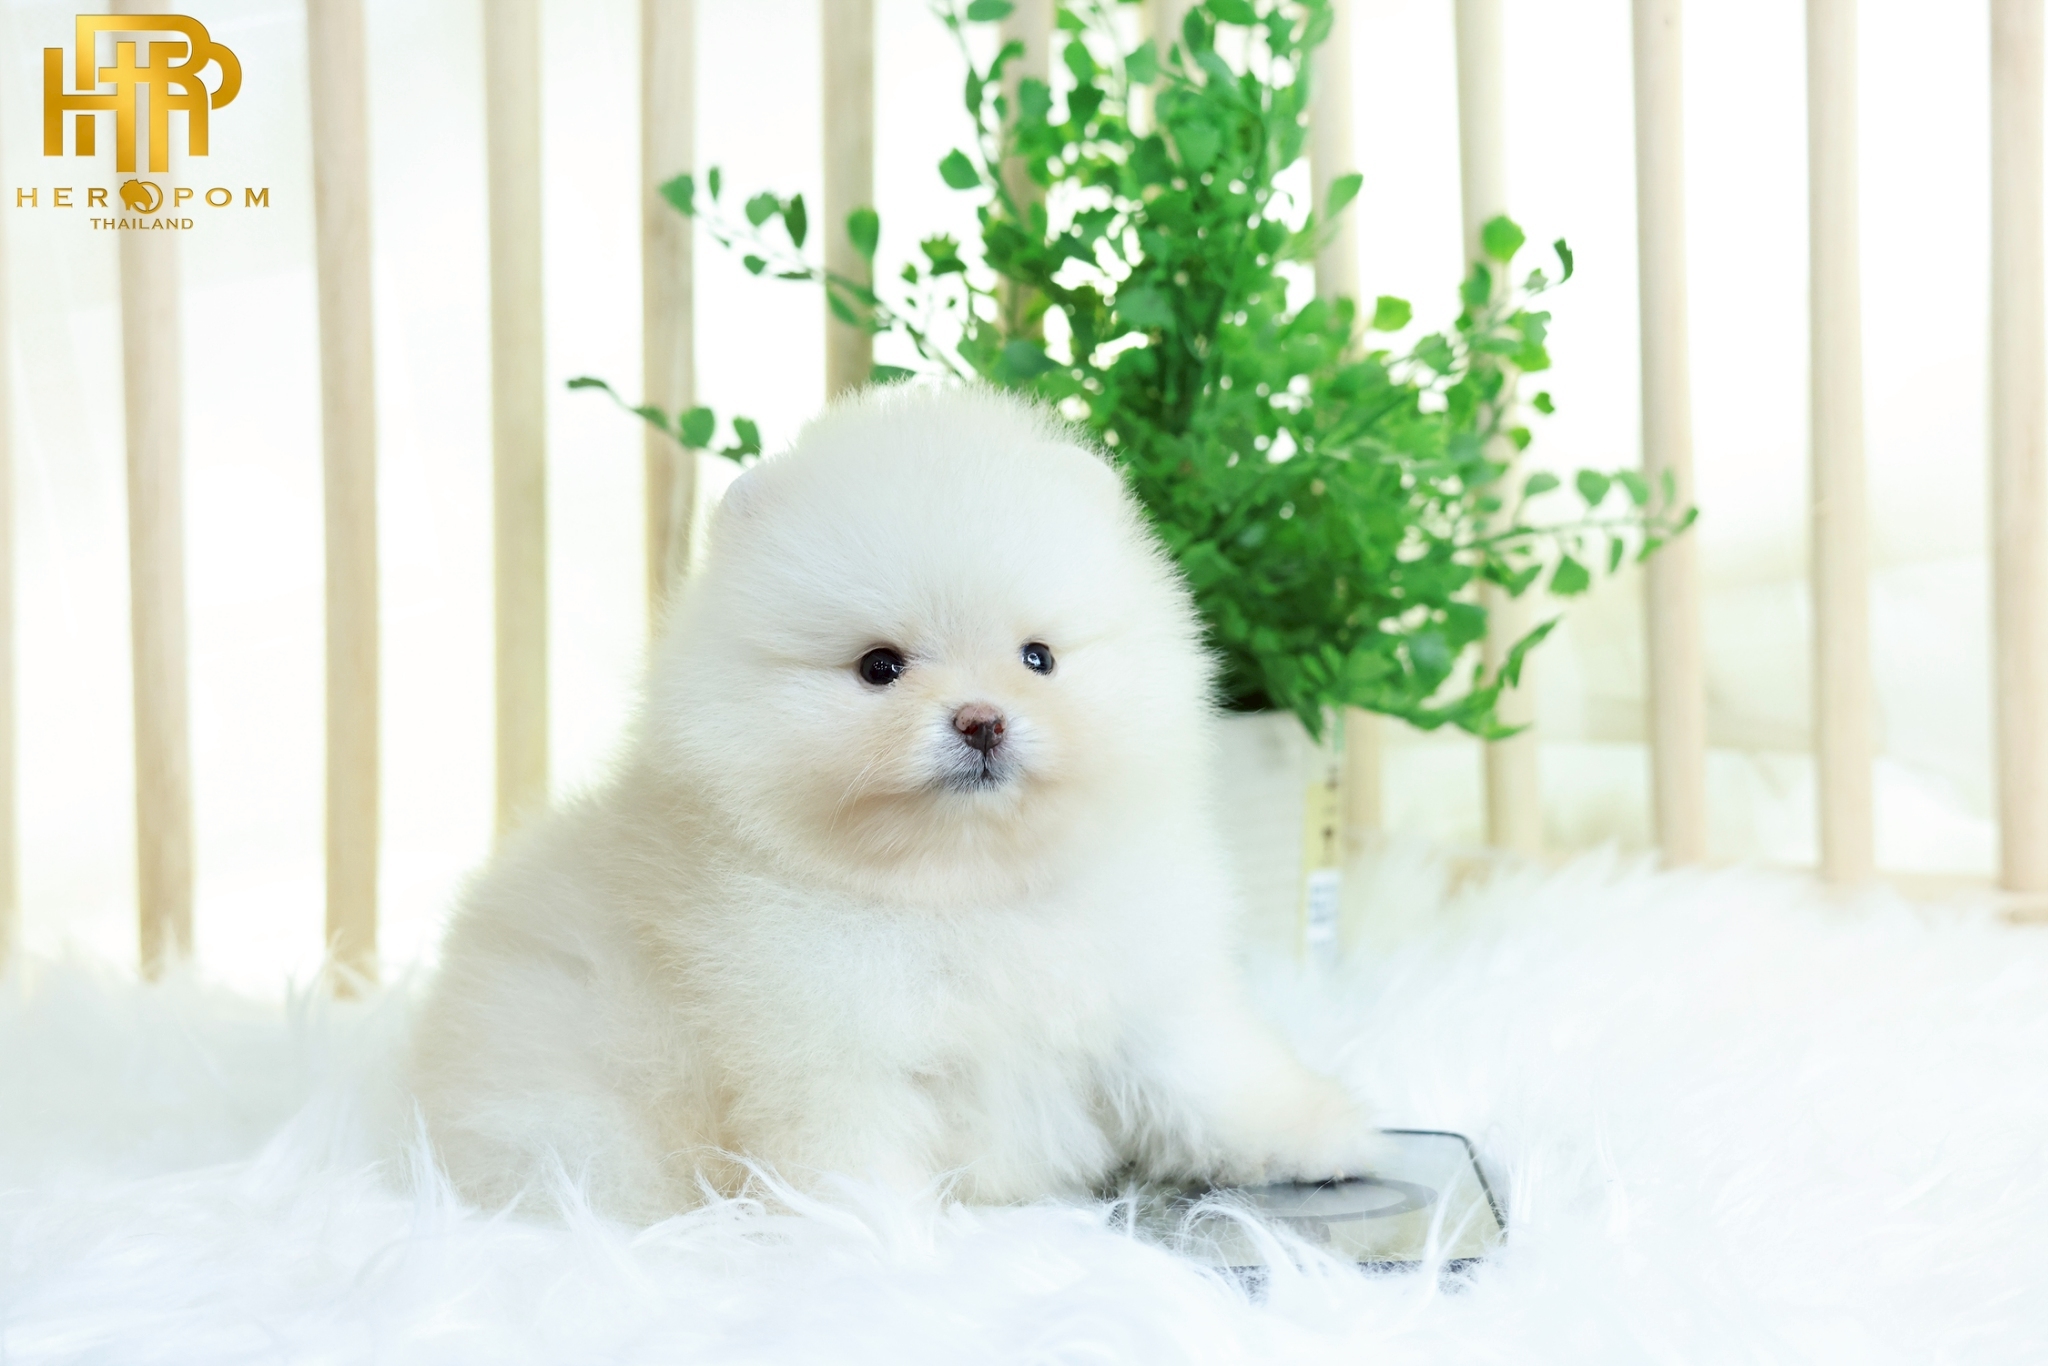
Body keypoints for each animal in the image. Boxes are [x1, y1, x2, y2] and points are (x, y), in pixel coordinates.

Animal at [410, 385, 1382, 1218]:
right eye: (880, 667)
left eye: (1039, 658)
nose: (981, 720)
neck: (965, 889)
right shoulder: (826, 1054)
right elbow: (850, 1161)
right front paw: (880, 1253)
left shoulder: (1143, 993)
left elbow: (1209, 1076)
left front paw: (1316, 1136)